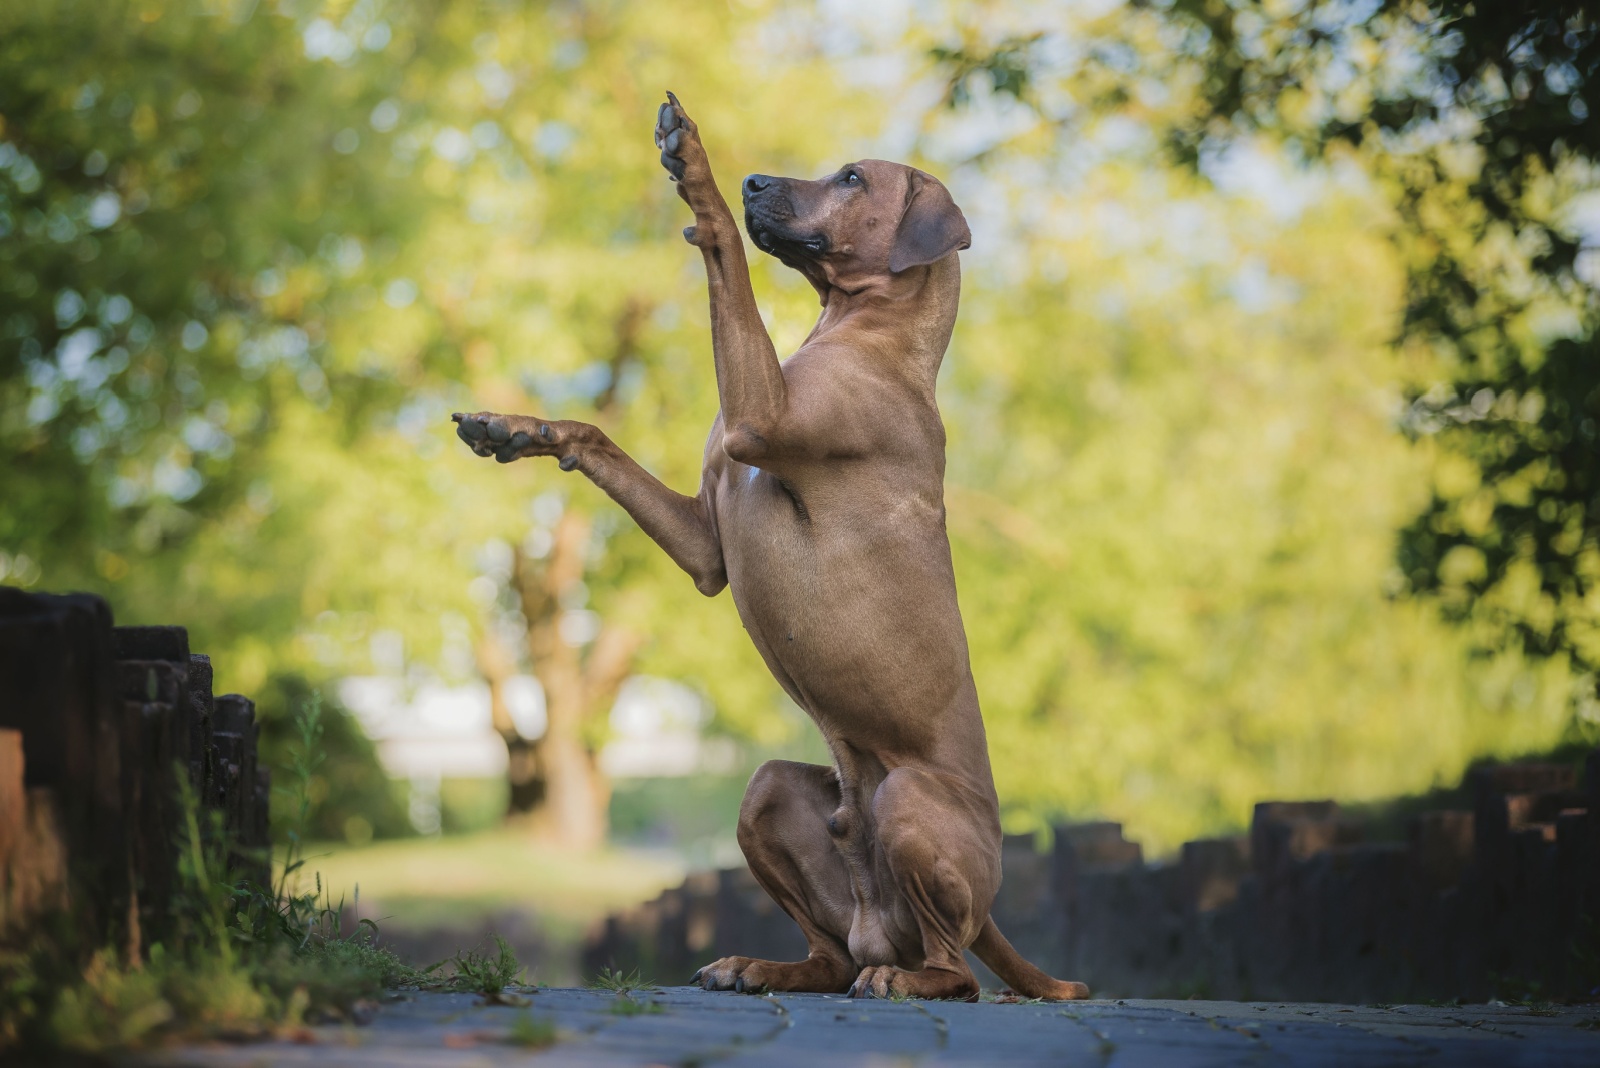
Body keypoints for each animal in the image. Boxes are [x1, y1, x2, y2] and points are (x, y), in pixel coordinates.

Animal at [457, 91, 1094, 1004]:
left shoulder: (760, 419)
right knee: (834, 957)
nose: (757, 178)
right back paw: (761, 966)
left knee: (954, 972)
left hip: (908, 800)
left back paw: (904, 981)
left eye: (853, 176)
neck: (865, 336)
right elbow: (597, 438)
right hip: (769, 796)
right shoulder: (705, 545)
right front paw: (514, 427)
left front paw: (697, 172)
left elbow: (726, 251)